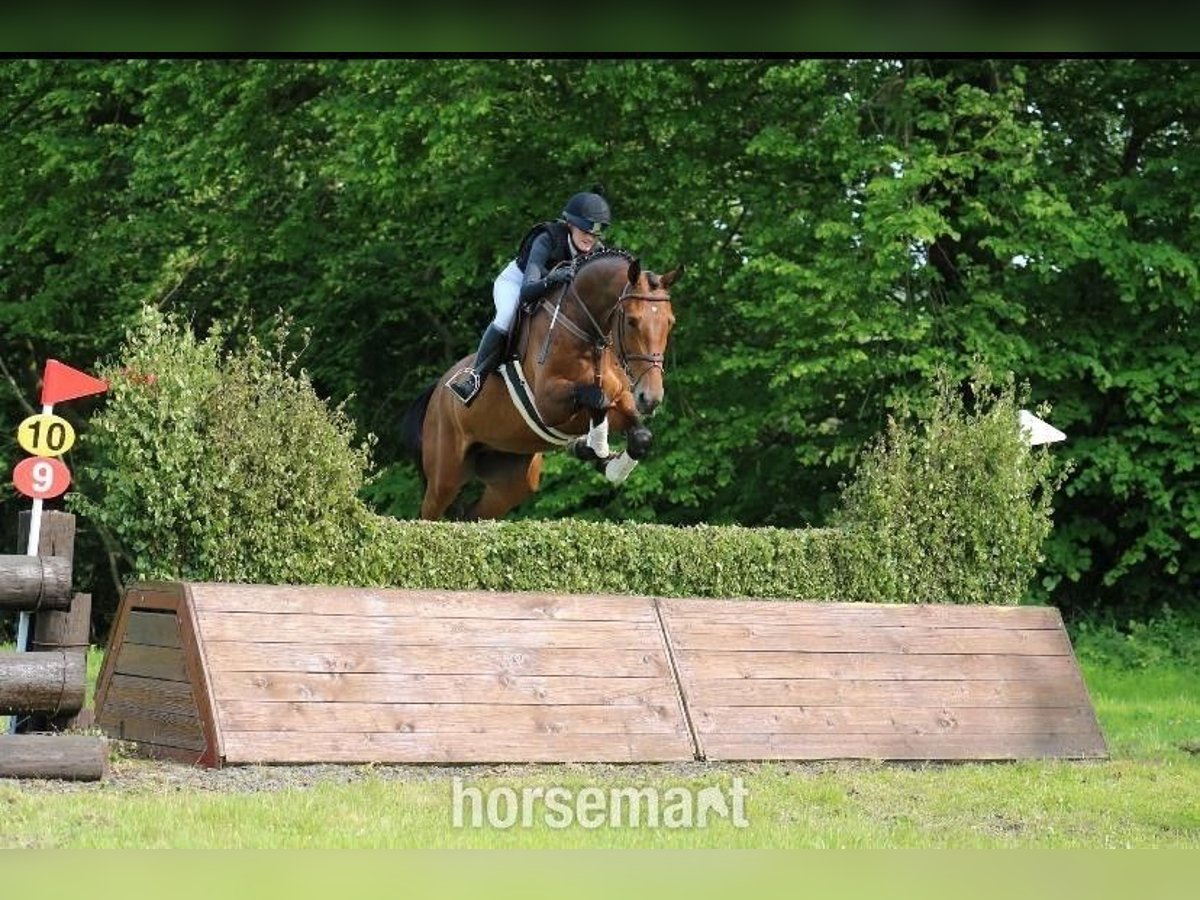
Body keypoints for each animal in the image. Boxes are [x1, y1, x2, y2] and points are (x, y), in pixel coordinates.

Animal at [401, 248, 680, 521]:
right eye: (632, 321)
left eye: (670, 322)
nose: (650, 398)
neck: (585, 332)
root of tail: (437, 391)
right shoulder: (549, 406)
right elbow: (597, 398)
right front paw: (596, 449)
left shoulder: (619, 401)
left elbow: (640, 434)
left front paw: (608, 463)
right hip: (445, 475)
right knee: (428, 513)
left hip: (512, 478)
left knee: (472, 515)